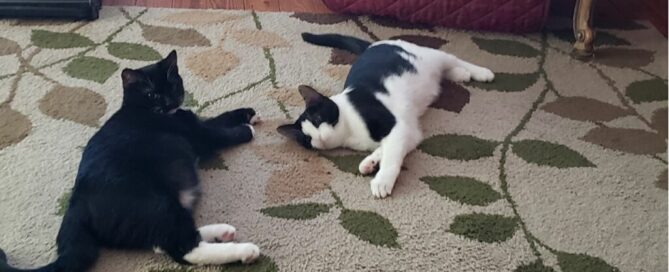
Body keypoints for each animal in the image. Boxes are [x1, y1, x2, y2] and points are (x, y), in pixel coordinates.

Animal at [0, 51, 260, 272]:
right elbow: (218, 131)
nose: (169, 102)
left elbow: (217, 118)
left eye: (173, 85)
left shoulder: (191, 121)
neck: (154, 112)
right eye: (152, 94)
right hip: (157, 202)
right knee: (182, 249)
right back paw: (244, 250)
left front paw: (248, 113)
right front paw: (246, 129)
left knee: (163, 242)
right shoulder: (198, 135)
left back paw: (222, 232)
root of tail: (76, 204)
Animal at [280, 33, 494, 198]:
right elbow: (394, 146)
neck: (349, 132)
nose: (319, 138)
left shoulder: (396, 126)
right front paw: (371, 162)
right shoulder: (409, 131)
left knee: (452, 57)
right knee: (446, 71)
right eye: (307, 139)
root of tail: (375, 44)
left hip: (430, 56)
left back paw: (481, 72)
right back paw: (461, 74)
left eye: (317, 120)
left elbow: (392, 154)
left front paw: (382, 180)